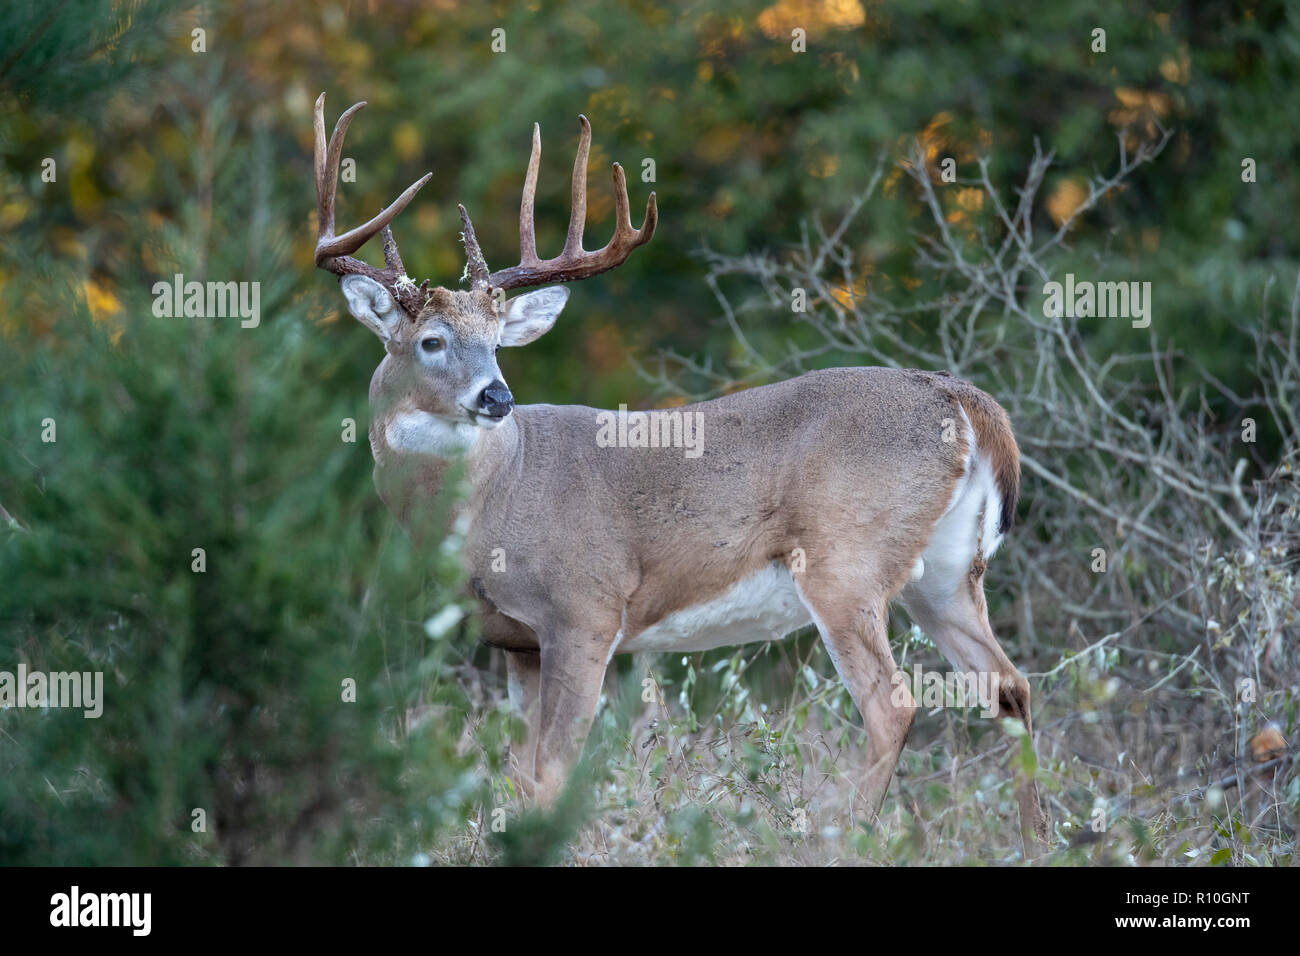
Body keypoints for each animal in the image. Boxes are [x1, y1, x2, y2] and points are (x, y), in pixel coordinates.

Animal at [311, 93, 1048, 850]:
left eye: (496, 343)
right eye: (432, 342)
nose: (497, 396)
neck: (492, 500)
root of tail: (963, 400)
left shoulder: (586, 606)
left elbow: (554, 769)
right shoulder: (517, 641)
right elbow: (517, 772)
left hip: (847, 560)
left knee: (894, 705)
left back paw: (839, 837)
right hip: (947, 571)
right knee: (1010, 687)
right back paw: (1036, 842)